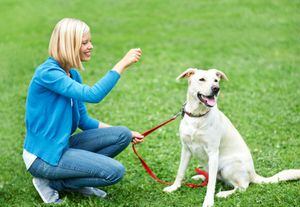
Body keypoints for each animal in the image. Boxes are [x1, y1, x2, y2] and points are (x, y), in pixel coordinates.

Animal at [163, 68, 300, 206]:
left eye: (216, 80)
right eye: (202, 79)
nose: (216, 88)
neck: (198, 116)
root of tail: (253, 174)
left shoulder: (213, 152)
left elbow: (211, 185)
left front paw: (208, 201)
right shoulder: (186, 149)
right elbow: (180, 172)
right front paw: (174, 187)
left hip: (228, 167)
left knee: (242, 187)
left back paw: (224, 193)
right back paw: (201, 177)